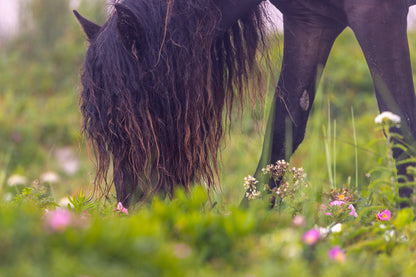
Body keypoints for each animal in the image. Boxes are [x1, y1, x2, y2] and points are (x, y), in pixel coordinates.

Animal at [75, 0, 416, 206]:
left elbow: (401, 128)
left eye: (135, 113)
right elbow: (281, 135)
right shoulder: (311, 22)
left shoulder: (376, 13)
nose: (134, 207)